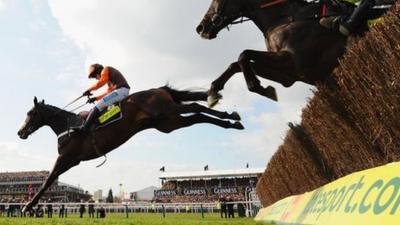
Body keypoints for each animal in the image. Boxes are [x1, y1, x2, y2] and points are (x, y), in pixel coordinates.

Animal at [17, 86, 242, 211]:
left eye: (30, 113)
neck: (68, 126)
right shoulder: (72, 161)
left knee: (196, 107)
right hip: (169, 122)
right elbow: (50, 179)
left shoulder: (66, 158)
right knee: (197, 115)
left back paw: (230, 116)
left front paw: (28, 206)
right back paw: (231, 120)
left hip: (168, 111)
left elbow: (47, 180)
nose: (20, 132)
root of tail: (159, 89)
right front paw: (30, 205)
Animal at [197, 0, 390, 106]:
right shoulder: (288, 76)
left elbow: (243, 54)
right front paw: (212, 92)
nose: (201, 28)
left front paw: (256, 86)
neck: (284, 18)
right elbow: (236, 64)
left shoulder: (293, 62)